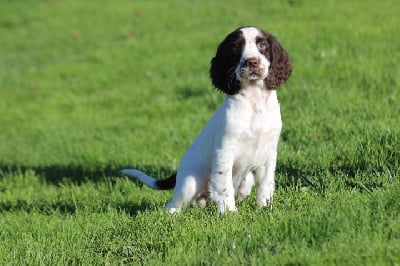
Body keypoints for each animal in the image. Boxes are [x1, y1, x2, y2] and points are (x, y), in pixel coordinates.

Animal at [120, 26, 292, 214]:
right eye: (235, 49)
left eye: (262, 45)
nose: (251, 62)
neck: (254, 101)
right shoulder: (224, 151)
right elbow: (224, 185)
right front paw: (229, 213)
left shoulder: (269, 152)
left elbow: (266, 183)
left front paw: (265, 207)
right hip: (190, 182)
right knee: (173, 204)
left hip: (247, 180)